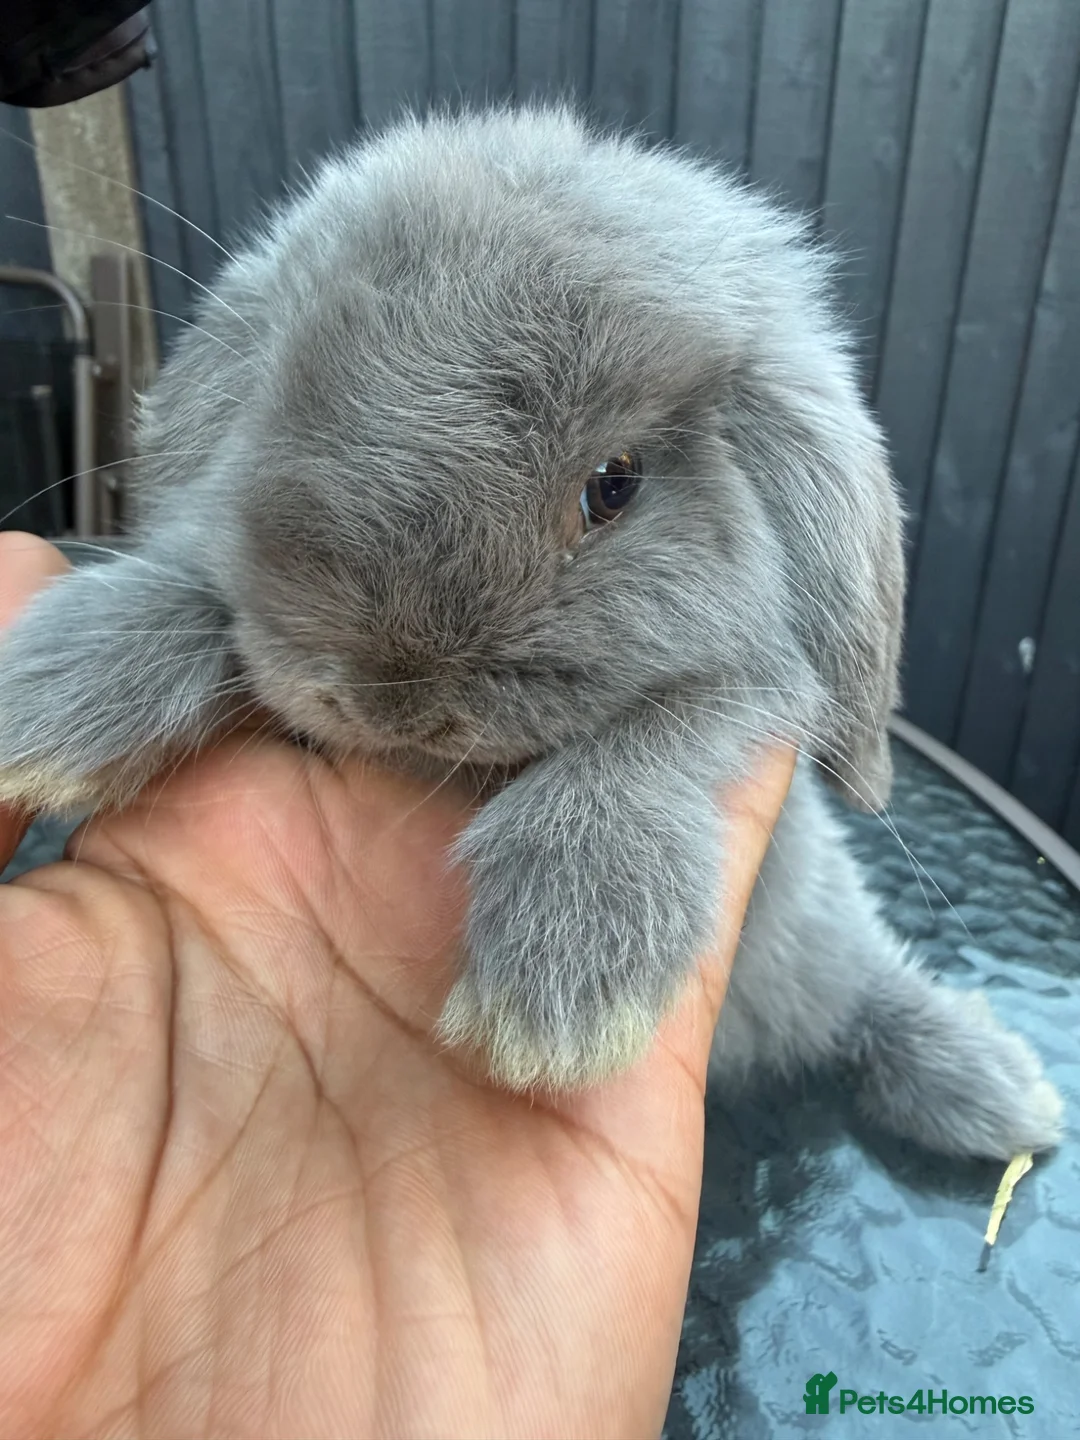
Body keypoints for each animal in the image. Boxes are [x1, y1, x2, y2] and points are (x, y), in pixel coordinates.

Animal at [0, 105, 1063, 1161]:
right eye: (270, 405)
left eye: (615, 484)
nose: (393, 702)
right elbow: (192, 604)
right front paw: (40, 715)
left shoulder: (756, 686)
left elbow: (653, 741)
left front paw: (562, 993)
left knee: (864, 998)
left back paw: (1001, 1094)